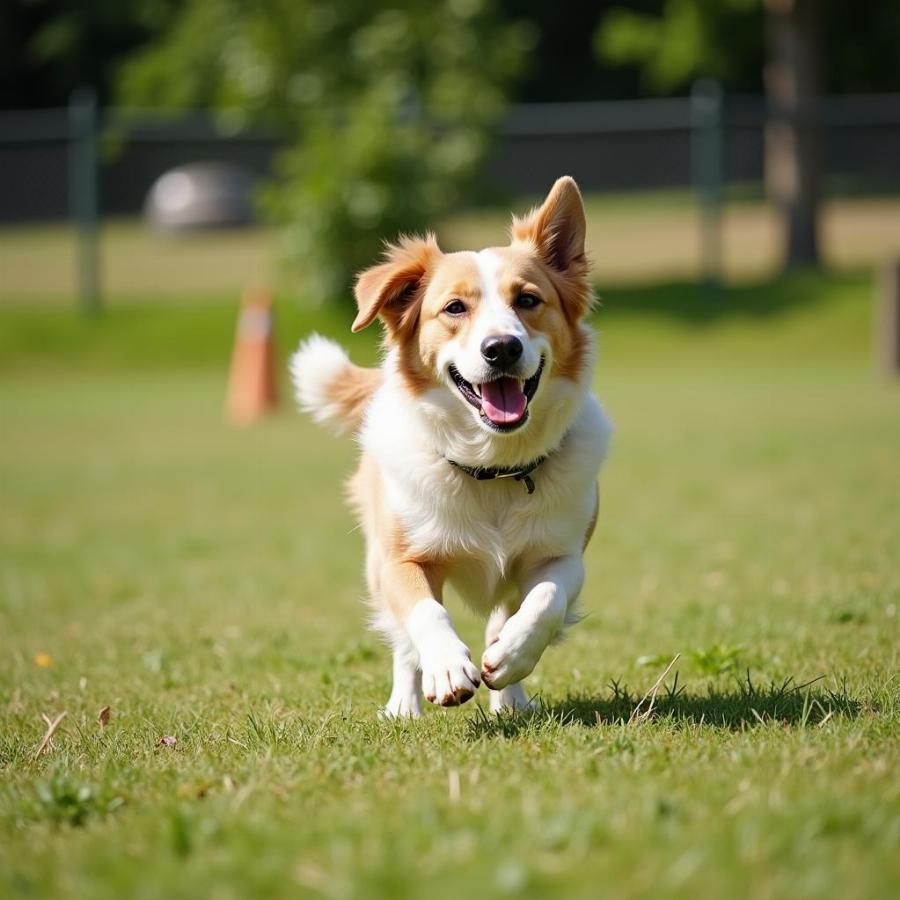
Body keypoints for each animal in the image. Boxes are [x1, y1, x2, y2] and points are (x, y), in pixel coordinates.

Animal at [292, 178, 608, 716]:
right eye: (455, 308)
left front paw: (511, 657)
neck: (493, 466)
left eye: (528, 299)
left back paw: (510, 694)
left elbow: (545, 600)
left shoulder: (563, 553)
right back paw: (404, 706)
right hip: (377, 560)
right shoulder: (401, 560)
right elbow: (426, 614)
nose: (501, 348)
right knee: (402, 642)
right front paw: (446, 669)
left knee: (504, 613)